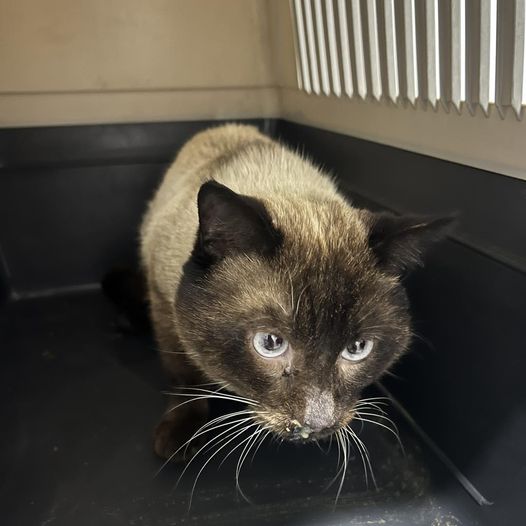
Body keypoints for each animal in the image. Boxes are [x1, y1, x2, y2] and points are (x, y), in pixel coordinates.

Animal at [138, 124, 452, 462]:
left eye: (357, 348)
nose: (316, 424)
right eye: (270, 343)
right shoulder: (162, 300)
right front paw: (181, 438)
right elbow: (185, 378)